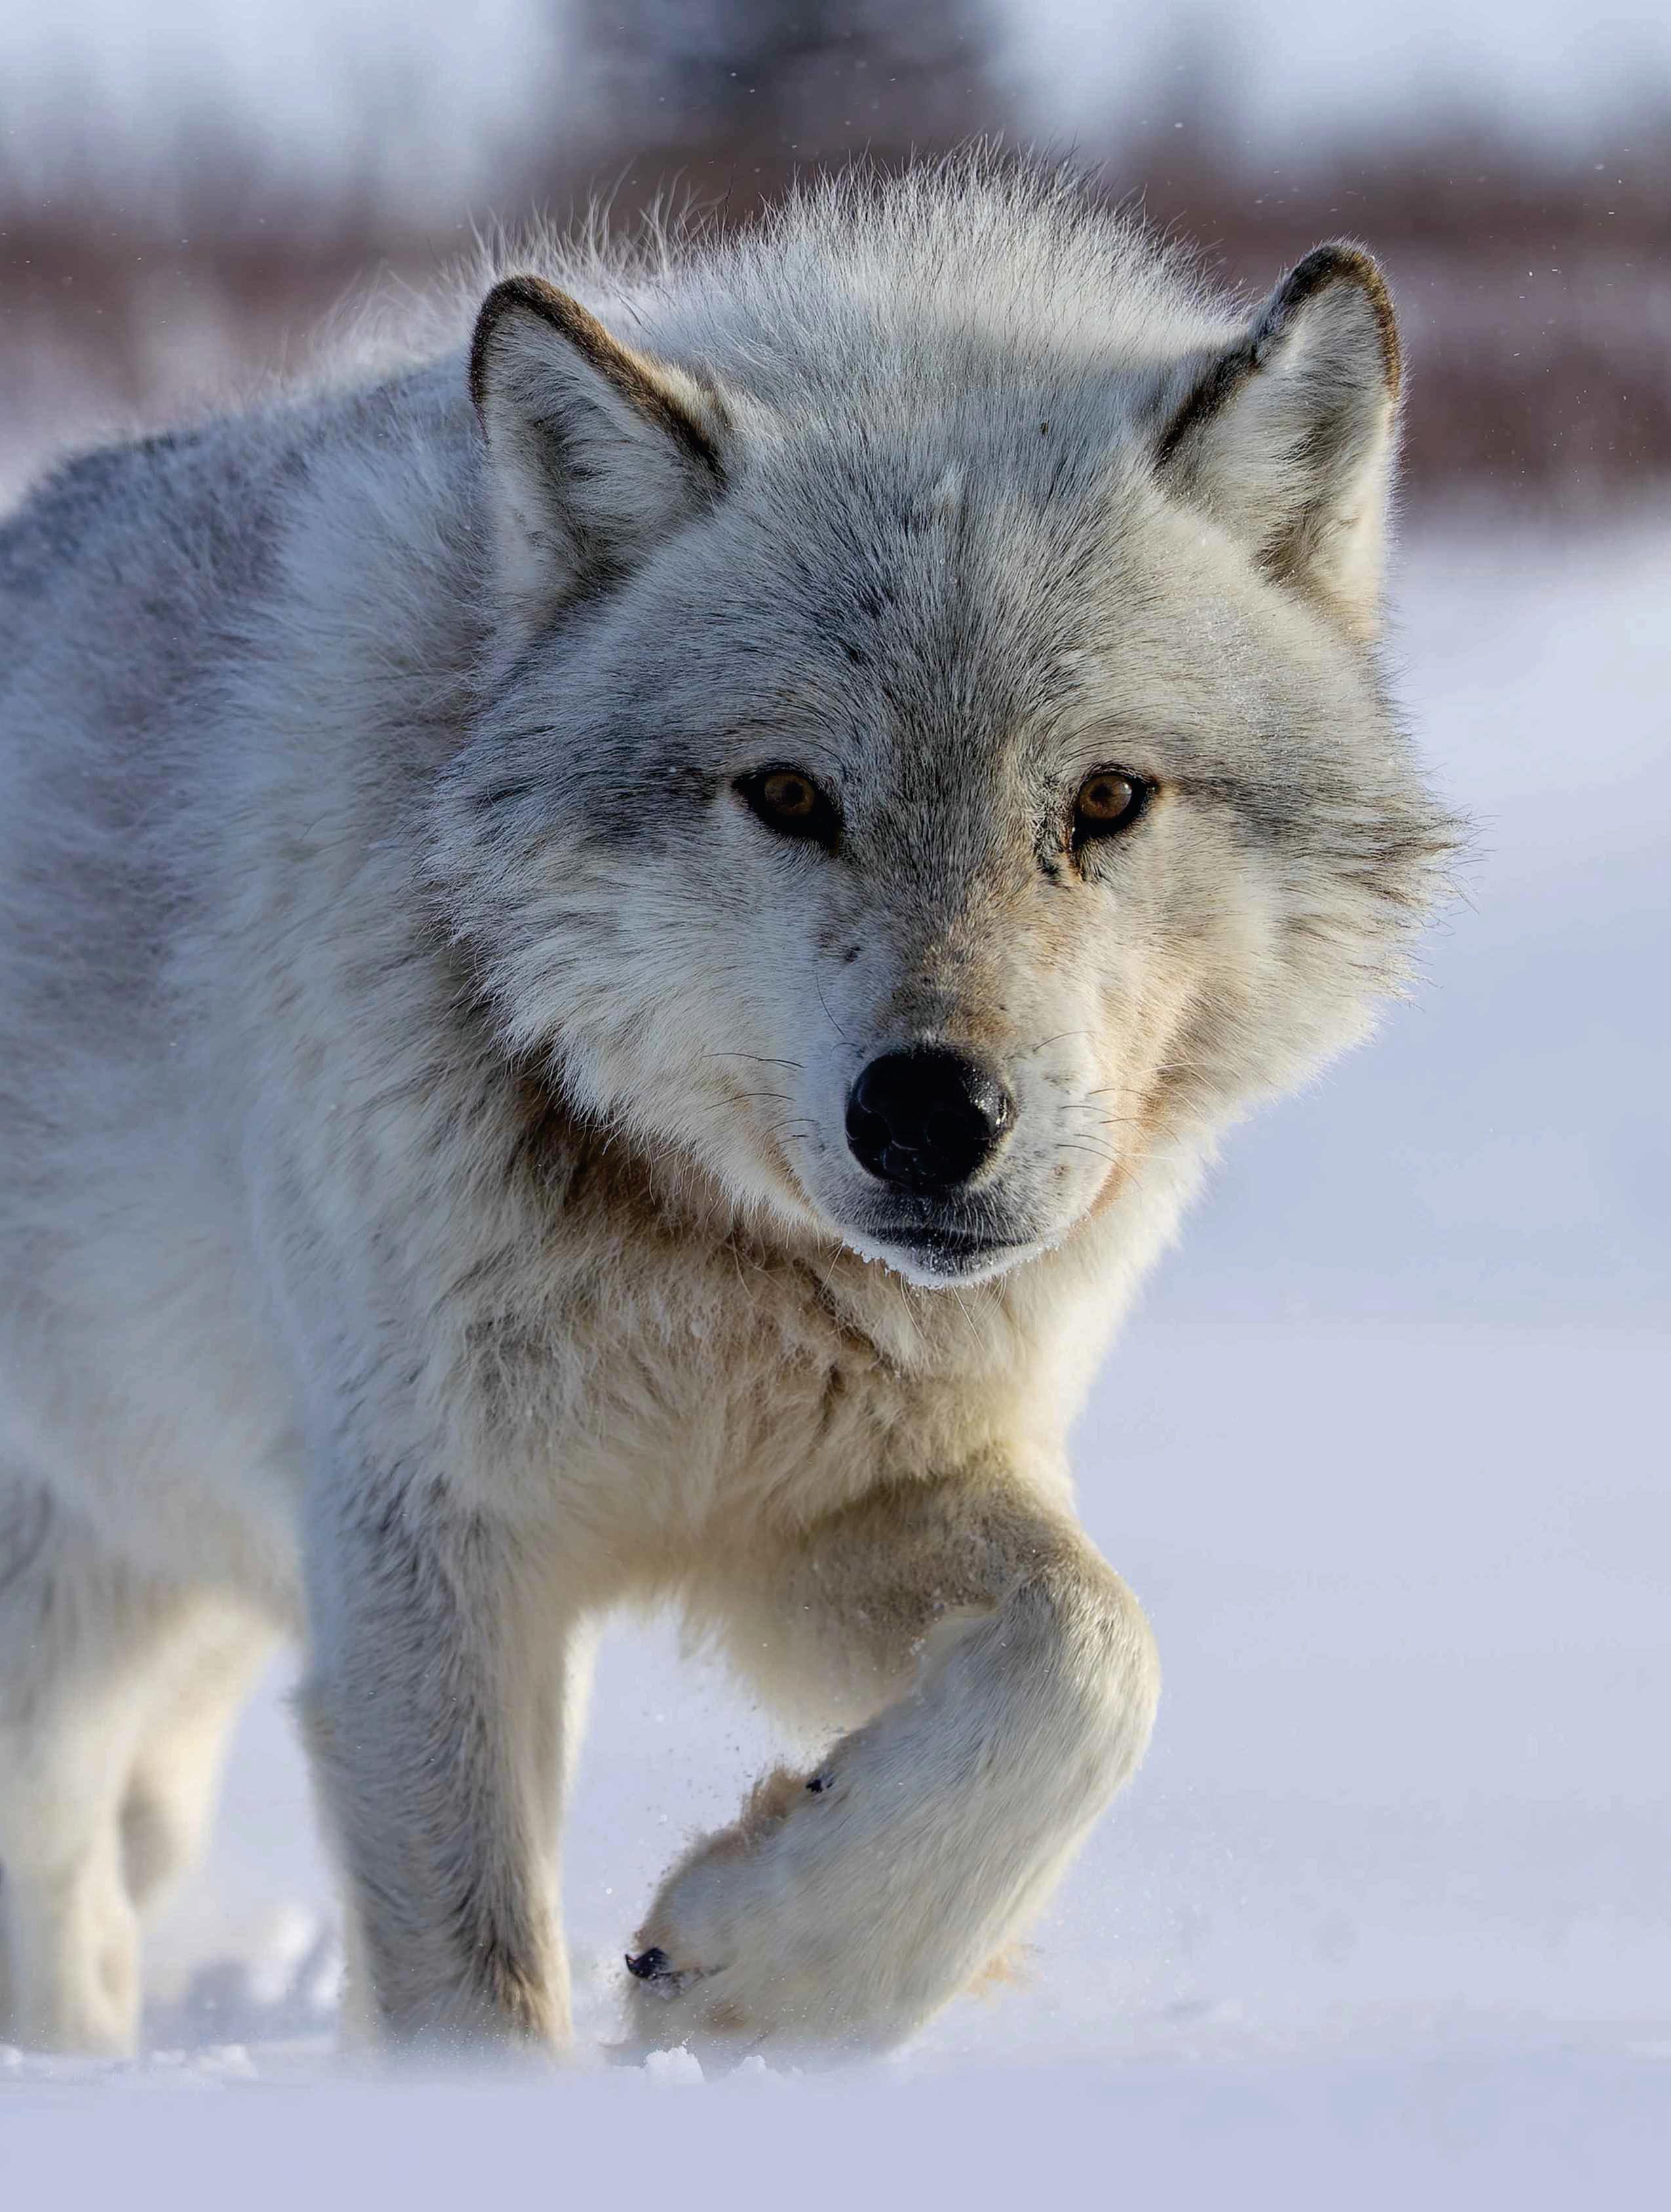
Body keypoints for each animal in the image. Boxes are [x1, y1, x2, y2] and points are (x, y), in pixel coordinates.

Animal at [0, 155, 1454, 2060]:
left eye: (1105, 800)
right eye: (788, 796)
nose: (926, 1118)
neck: (691, 1228)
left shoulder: (836, 1495)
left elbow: (1091, 1661)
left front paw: (771, 1966)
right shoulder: (425, 1545)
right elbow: (474, 1989)